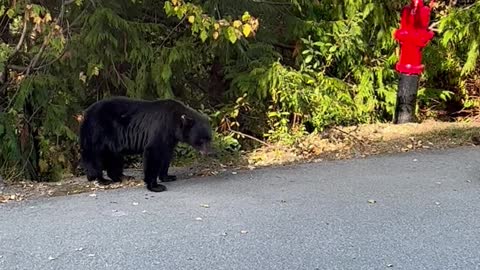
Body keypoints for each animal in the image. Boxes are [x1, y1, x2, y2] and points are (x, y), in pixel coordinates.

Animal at [79, 96, 212, 192]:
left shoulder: (170, 138)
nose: (209, 153)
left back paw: (123, 176)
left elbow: (166, 154)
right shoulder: (161, 128)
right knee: (94, 157)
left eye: (209, 139)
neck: (175, 122)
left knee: (114, 158)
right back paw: (101, 179)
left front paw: (167, 176)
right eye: (201, 140)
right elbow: (153, 151)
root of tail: (85, 114)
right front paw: (155, 186)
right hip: (97, 132)